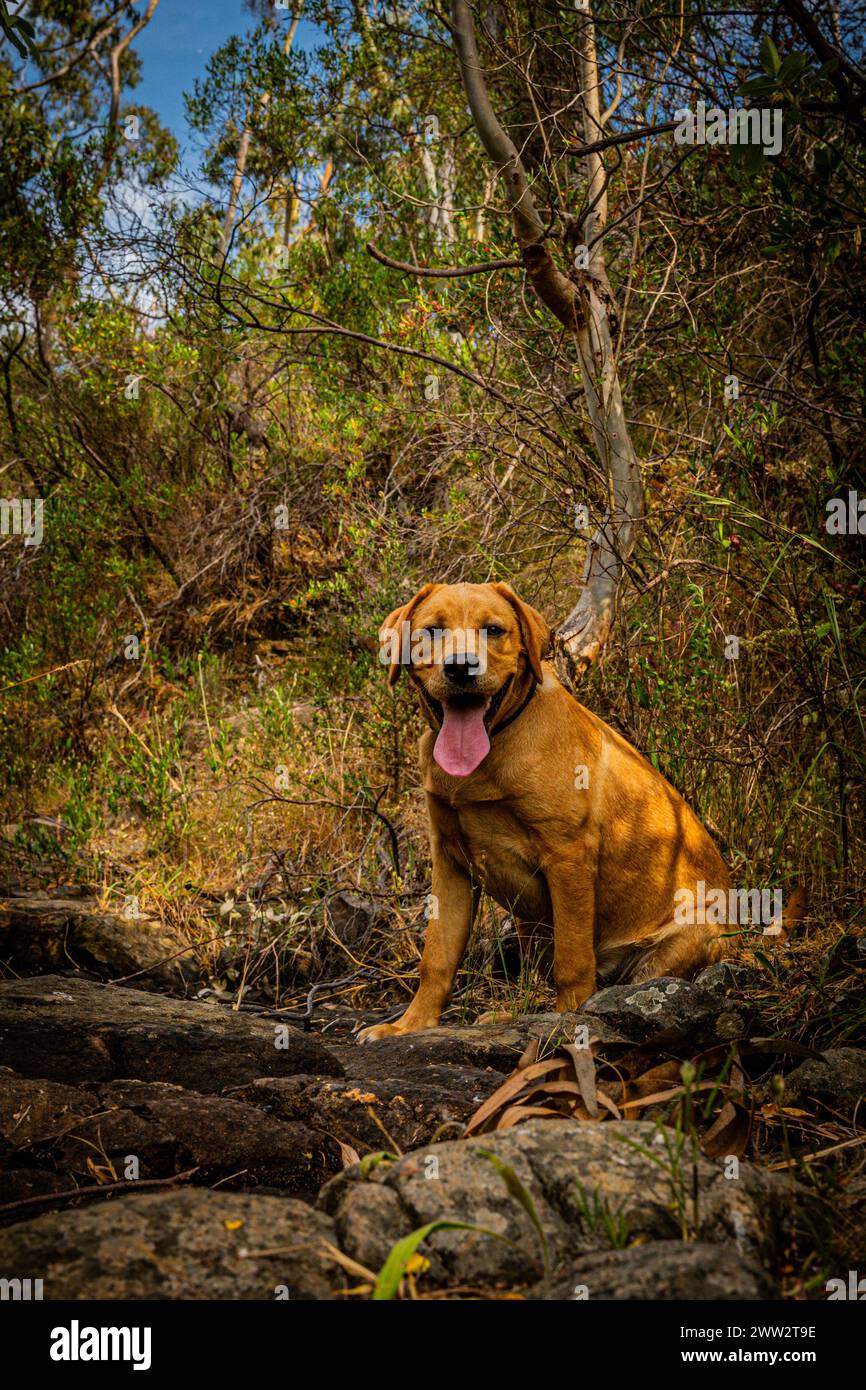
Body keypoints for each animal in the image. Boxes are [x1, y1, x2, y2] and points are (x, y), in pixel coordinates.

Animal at [358, 578, 733, 1045]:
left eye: (494, 630)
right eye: (432, 630)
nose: (461, 669)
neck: (493, 748)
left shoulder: (568, 859)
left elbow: (572, 961)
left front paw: (569, 1023)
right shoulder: (450, 864)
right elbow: (437, 958)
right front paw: (410, 1025)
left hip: (684, 938)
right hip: (530, 922)